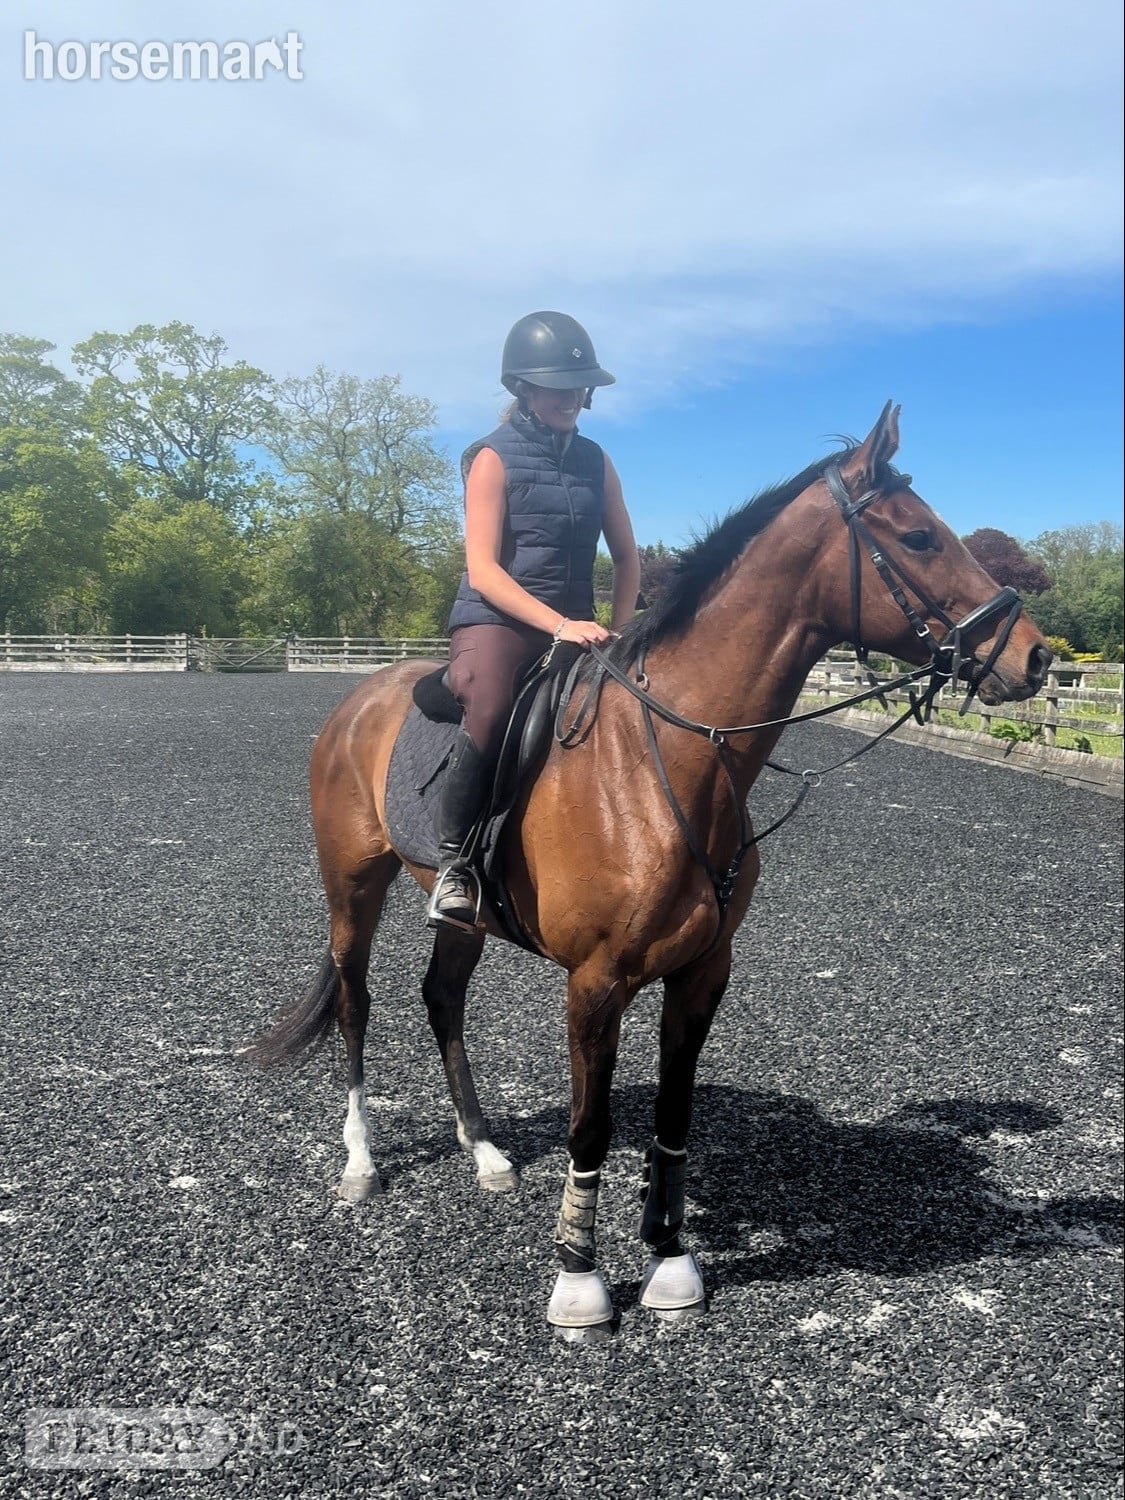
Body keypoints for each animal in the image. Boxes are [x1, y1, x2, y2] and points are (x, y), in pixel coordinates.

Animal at [246, 403, 1051, 1340]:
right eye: (919, 536)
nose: (1034, 658)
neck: (667, 758)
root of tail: (358, 698)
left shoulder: (702, 972)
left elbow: (672, 1114)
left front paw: (668, 1256)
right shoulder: (596, 983)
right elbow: (590, 1129)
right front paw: (578, 1278)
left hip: (461, 917)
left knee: (441, 999)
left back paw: (483, 1151)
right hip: (353, 886)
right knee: (355, 1002)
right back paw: (361, 1163)